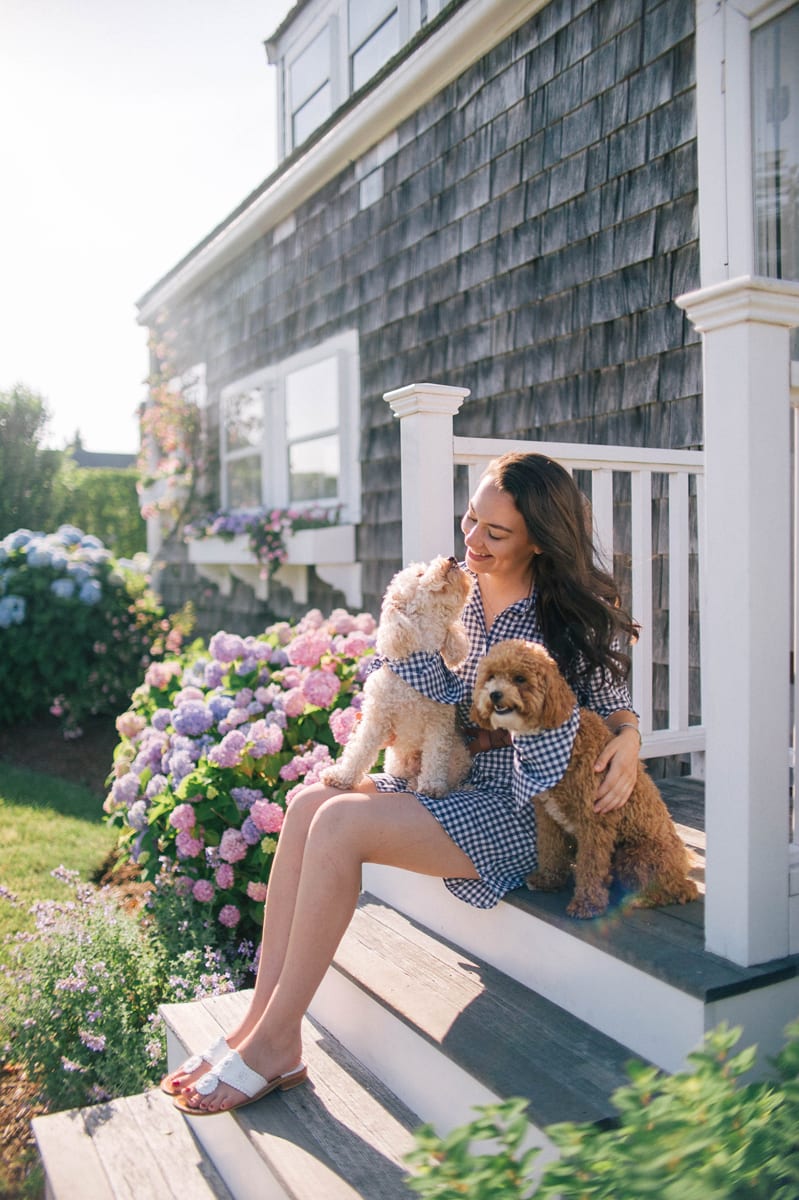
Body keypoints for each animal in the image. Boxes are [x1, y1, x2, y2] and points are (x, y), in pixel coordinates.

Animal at [321, 556, 472, 801]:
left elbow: (435, 757)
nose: (451, 558)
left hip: (458, 757)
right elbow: (359, 749)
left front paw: (431, 786)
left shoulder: (439, 724)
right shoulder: (376, 717)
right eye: (420, 574)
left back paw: (420, 783)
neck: (417, 669)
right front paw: (341, 776)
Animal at [470, 643, 695, 912]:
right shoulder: (547, 815)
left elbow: (591, 863)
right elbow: (550, 849)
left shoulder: (594, 819)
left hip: (637, 855)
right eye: (491, 676)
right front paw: (548, 879)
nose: (494, 694)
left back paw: (644, 898)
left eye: (520, 679)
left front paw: (587, 904)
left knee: (678, 890)